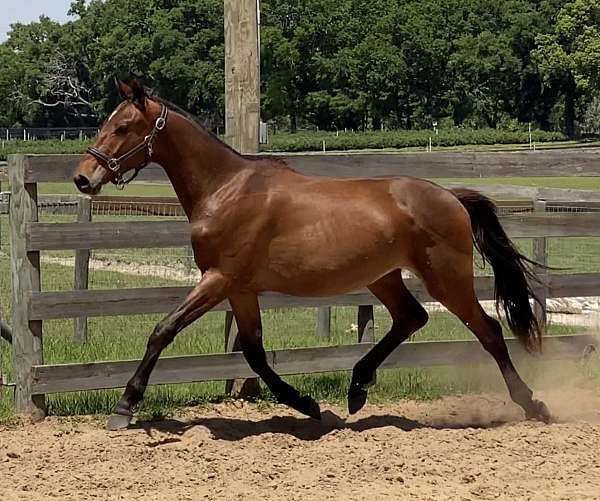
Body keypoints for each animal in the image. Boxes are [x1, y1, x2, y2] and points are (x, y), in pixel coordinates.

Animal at [72, 80, 552, 428]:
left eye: (122, 127)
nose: (82, 178)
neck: (226, 190)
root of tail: (451, 197)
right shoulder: (240, 289)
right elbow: (254, 352)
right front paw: (307, 405)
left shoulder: (218, 279)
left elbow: (163, 330)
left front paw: (124, 406)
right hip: (383, 277)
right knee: (411, 318)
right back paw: (357, 388)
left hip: (446, 279)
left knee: (489, 330)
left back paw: (533, 404)